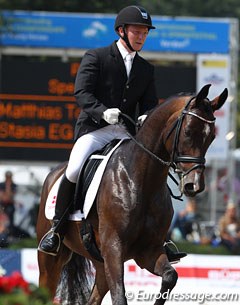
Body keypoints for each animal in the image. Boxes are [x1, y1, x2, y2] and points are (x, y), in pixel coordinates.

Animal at [36, 83, 228, 304]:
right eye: (188, 132)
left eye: (211, 137)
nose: (194, 185)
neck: (141, 181)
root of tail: (54, 172)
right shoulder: (114, 248)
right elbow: (120, 296)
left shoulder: (148, 251)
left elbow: (170, 276)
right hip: (50, 261)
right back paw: (51, 240)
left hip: (100, 262)